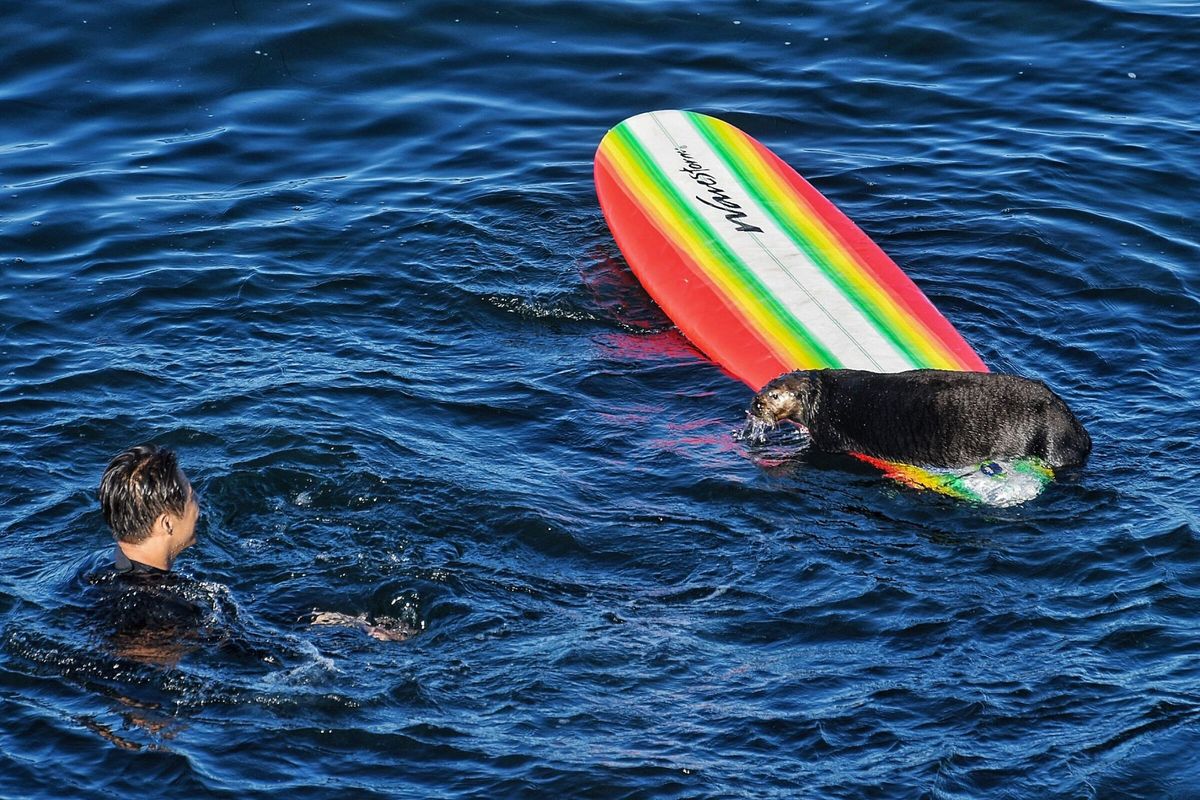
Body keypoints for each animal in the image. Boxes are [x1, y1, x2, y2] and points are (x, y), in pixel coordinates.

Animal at [749, 368, 1091, 470]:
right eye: (763, 388)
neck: (826, 396)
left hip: (1049, 438)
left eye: (774, 396)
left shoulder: (827, 434)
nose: (755, 404)